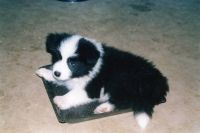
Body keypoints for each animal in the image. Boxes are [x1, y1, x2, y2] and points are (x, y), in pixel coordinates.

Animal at [36, 33, 169, 129]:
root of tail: (160, 82)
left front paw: (61, 100)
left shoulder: (92, 89)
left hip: (123, 82)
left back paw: (104, 107)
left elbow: (76, 93)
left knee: (126, 100)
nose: (56, 73)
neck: (88, 68)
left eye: (72, 63)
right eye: (57, 57)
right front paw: (45, 72)